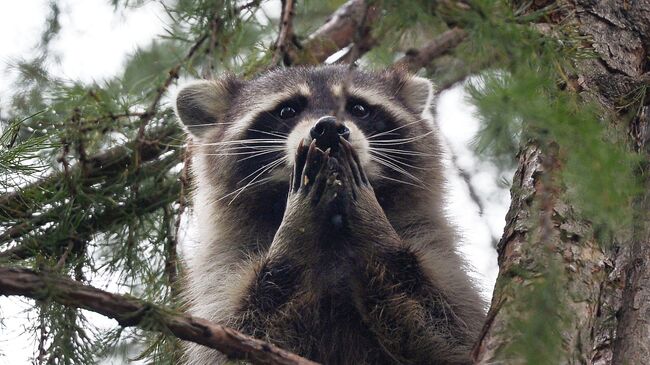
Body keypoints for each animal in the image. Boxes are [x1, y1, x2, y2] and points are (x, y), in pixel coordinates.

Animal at [175, 66, 484, 364]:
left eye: (359, 108)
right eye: (288, 110)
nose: (329, 128)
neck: (333, 230)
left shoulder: (430, 240)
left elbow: (450, 335)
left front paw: (375, 228)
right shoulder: (224, 263)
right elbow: (238, 338)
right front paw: (295, 233)